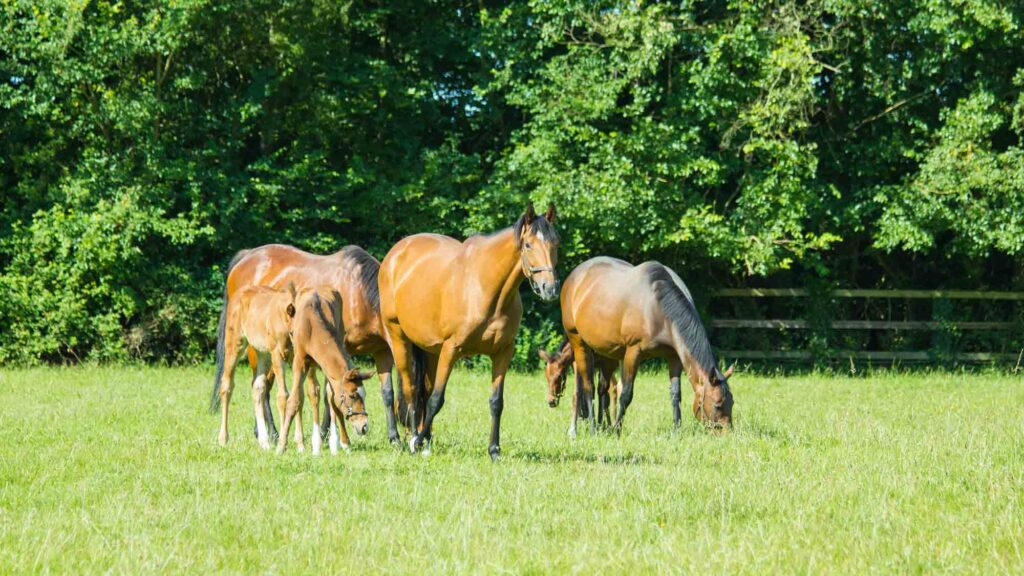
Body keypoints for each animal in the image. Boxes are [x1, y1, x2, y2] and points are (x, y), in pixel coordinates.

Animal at [215, 282, 299, 448]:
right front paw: (283, 442)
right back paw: (223, 438)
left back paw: (264, 441)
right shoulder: (277, 354)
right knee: (226, 385)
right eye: (293, 331)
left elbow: (296, 394)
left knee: (257, 386)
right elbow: (283, 396)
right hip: (235, 344)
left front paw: (300, 442)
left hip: (262, 353)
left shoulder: (294, 358)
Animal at [380, 201, 561, 457]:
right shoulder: (451, 350)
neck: (486, 287)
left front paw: (494, 450)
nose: (550, 288)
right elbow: (436, 400)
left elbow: (496, 402)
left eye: (555, 243)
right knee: (410, 389)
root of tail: (395, 254)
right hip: (398, 338)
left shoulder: (503, 352)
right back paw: (412, 438)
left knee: (422, 390)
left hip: (431, 351)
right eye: (528, 245)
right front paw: (418, 442)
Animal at [557, 253, 733, 432]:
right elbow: (626, 395)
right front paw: (617, 431)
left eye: (731, 403)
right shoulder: (633, 354)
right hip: (579, 343)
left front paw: (676, 430)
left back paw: (601, 426)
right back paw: (592, 429)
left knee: (602, 389)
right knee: (588, 387)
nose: (727, 433)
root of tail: (573, 277)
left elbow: (675, 393)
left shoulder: (674, 356)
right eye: (717, 405)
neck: (657, 310)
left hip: (605, 353)